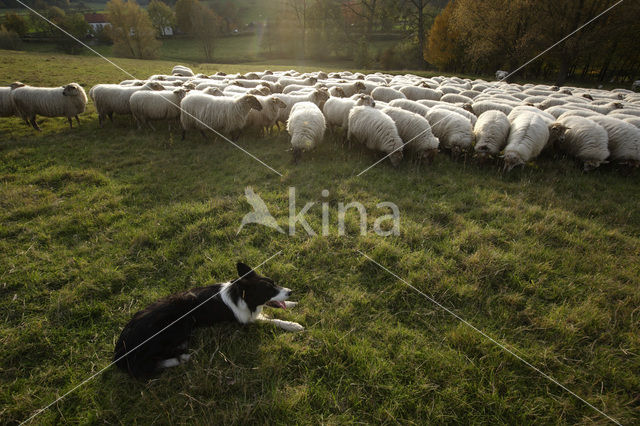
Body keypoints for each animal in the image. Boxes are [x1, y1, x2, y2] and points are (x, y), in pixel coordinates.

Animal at [113, 262, 302, 378]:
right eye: (269, 290)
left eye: (275, 283)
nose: (291, 291)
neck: (240, 295)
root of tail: (119, 351)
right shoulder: (245, 320)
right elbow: (272, 319)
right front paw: (293, 325)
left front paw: (292, 304)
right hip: (179, 325)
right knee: (142, 368)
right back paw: (181, 357)